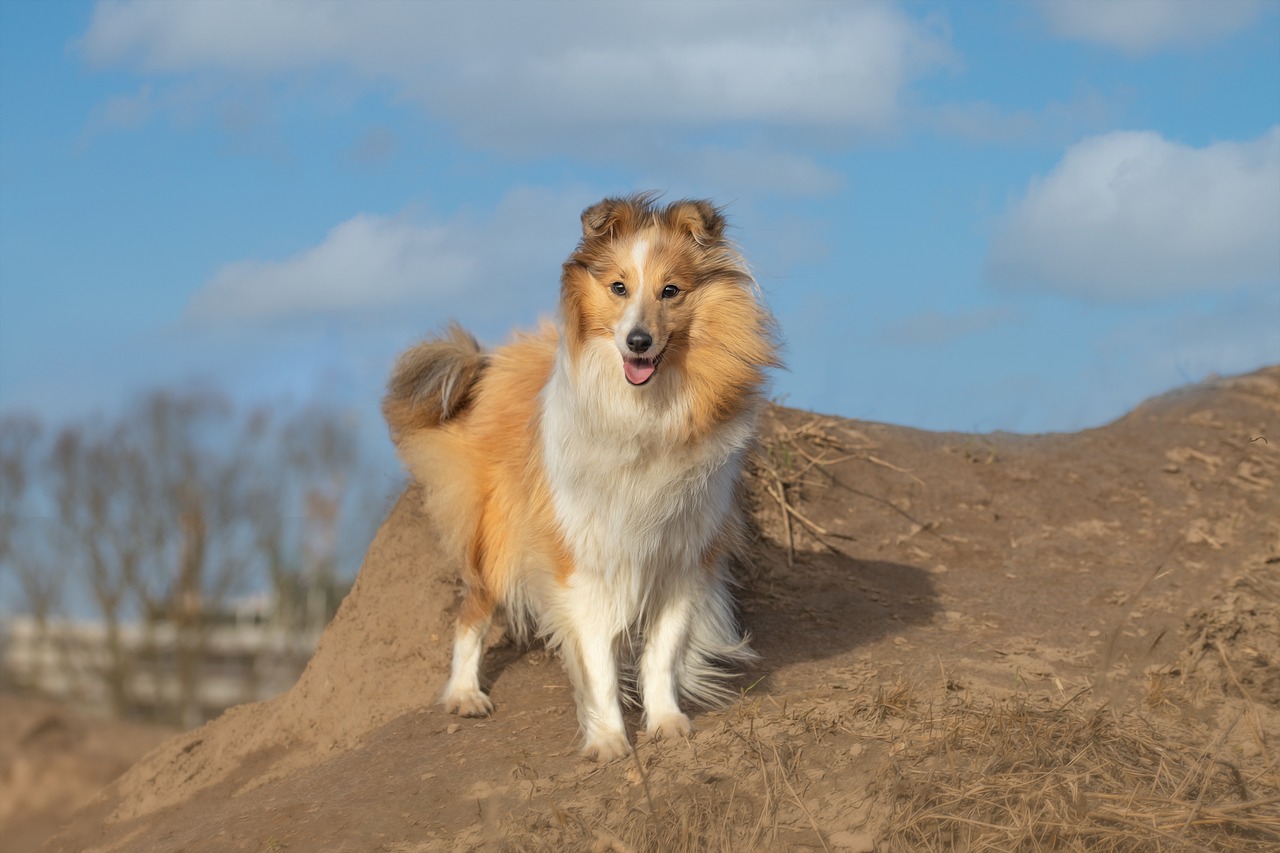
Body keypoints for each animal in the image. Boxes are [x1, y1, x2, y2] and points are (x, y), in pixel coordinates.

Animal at [381, 192, 778, 758]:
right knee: (471, 614)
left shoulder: (681, 558)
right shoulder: (583, 561)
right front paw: (609, 741)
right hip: (495, 540)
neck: (644, 410)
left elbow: (661, 653)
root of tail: (496, 363)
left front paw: (667, 723)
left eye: (671, 290)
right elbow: (598, 663)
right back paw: (464, 696)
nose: (638, 342)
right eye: (618, 287)